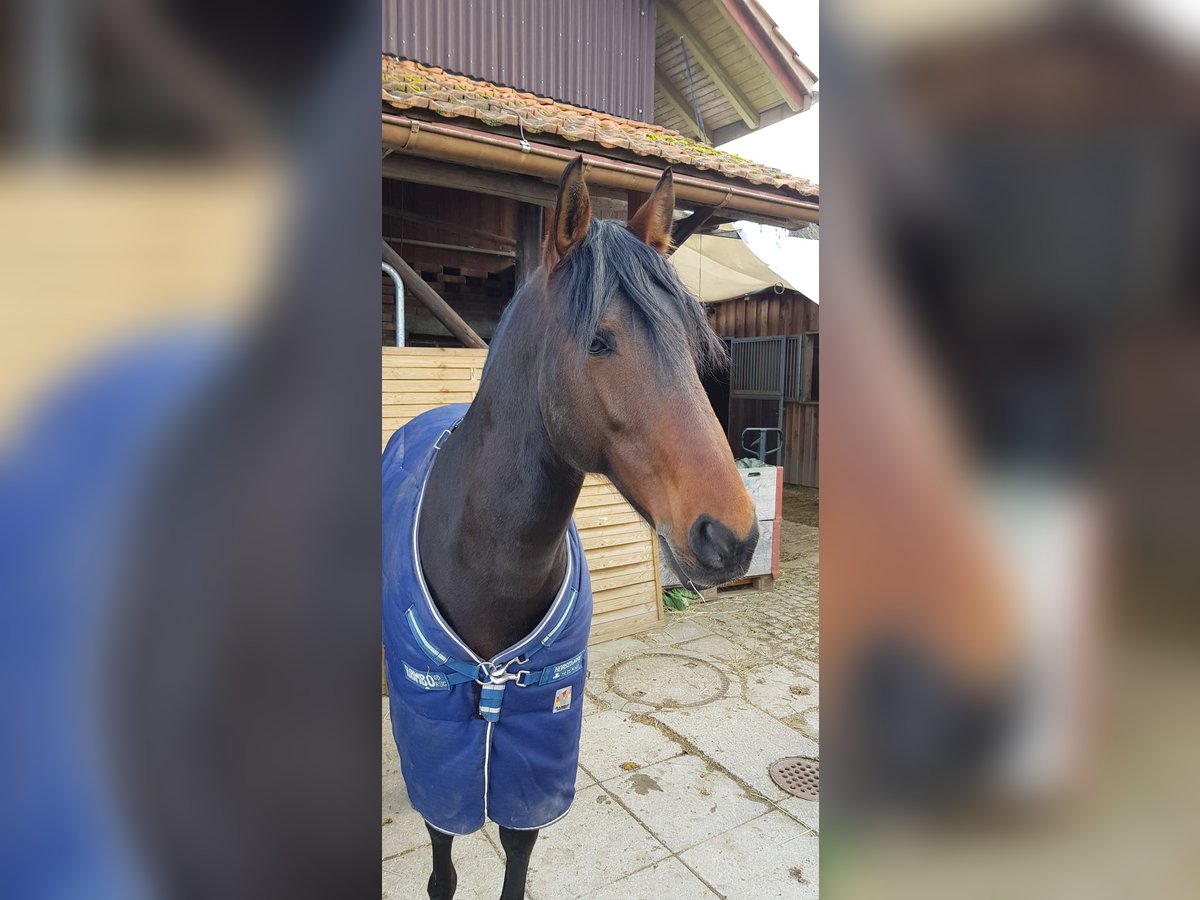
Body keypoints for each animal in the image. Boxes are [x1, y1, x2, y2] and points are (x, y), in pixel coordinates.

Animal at [384, 158, 758, 900]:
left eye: (690, 342)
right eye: (599, 340)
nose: (732, 536)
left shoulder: (539, 736)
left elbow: (518, 849)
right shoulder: (437, 737)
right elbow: (442, 857)